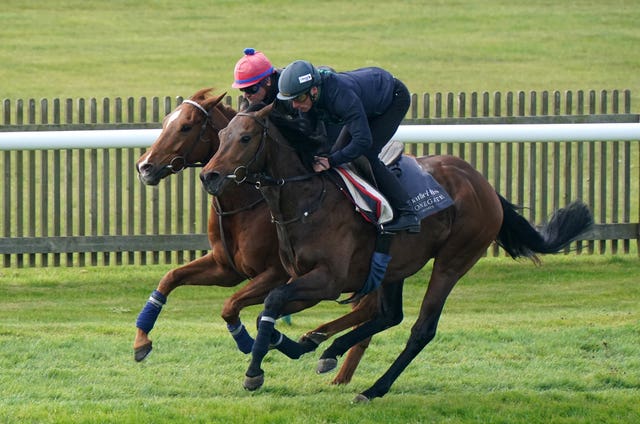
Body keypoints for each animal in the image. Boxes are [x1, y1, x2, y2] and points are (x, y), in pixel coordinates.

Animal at [132, 88, 378, 384]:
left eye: (186, 126)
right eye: (167, 120)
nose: (144, 167)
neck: (246, 201)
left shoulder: (276, 274)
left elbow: (231, 305)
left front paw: (252, 346)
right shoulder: (226, 268)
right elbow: (169, 278)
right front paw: (141, 341)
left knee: (368, 310)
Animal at [200, 104, 596, 402]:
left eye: (246, 137)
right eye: (221, 137)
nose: (209, 176)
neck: (308, 200)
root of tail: (483, 183)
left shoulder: (326, 281)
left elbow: (270, 304)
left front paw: (255, 371)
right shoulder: (301, 279)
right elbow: (266, 308)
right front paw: (292, 344)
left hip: (453, 261)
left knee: (422, 328)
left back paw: (372, 389)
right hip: (394, 265)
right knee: (390, 314)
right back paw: (328, 349)